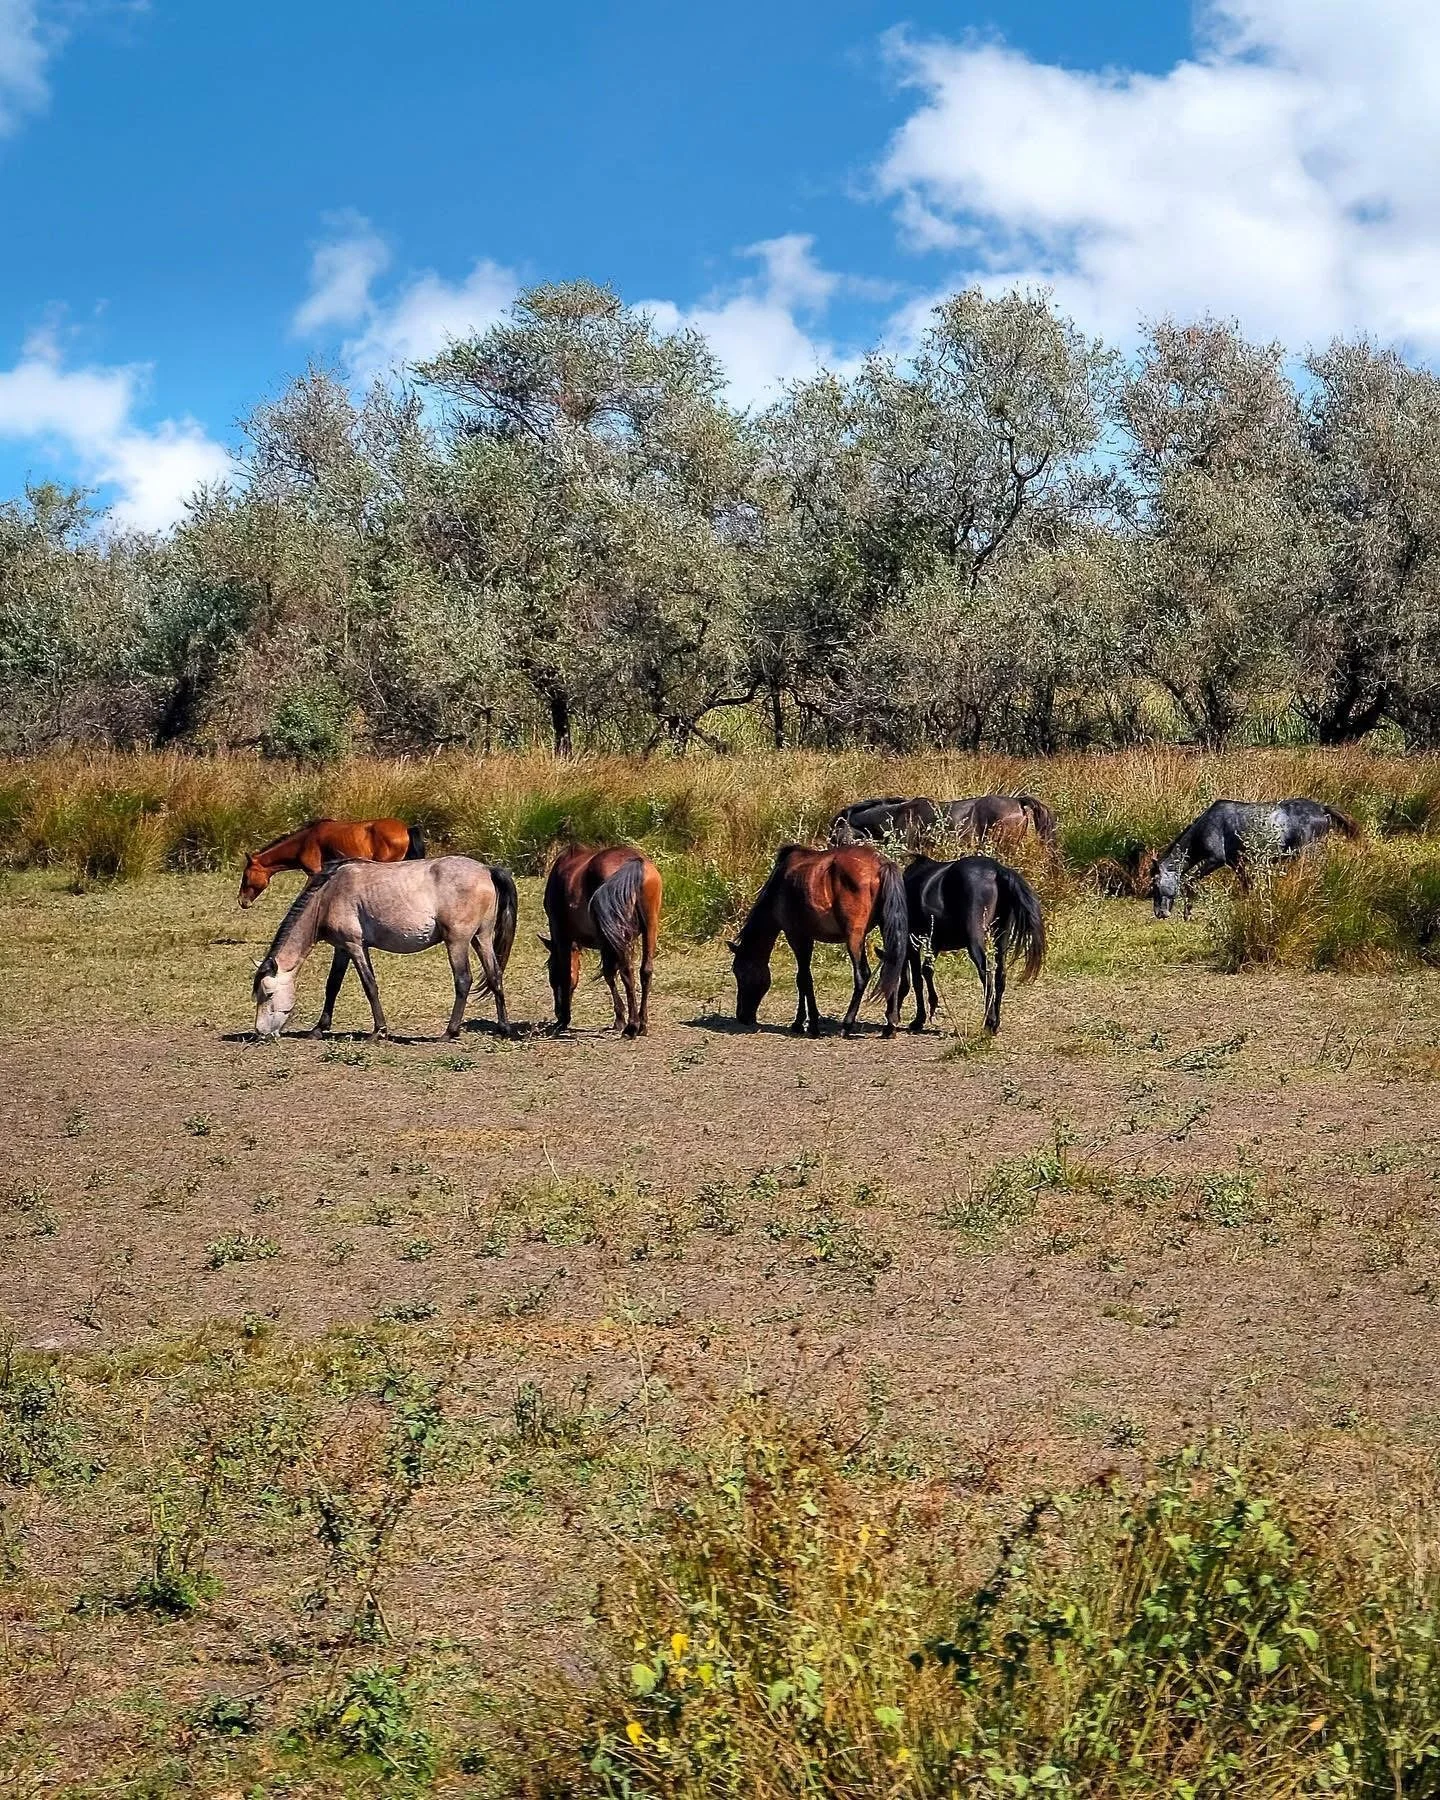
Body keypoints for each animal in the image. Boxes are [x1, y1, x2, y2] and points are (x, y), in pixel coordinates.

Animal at [251, 856, 516, 1040]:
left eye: (268, 994)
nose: (261, 1033)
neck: (328, 895)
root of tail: (486, 870)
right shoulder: (342, 949)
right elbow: (332, 986)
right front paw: (319, 1029)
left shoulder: (355, 946)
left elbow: (370, 986)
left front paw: (379, 1031)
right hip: (481, 939)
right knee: (495, 976)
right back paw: (503, 1028)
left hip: (457, 942)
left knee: (463, 980)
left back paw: (450, 1032)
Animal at [541, 846, 663, 1037]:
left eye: (551, 974)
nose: (557, 1012)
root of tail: (635, 862)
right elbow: (609, 974)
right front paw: (619, 1019)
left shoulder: (563, 937)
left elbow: (570, 974)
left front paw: (565, 1019)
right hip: (650, 927)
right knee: (645, 971)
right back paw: (642, 1024)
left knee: (627, 972)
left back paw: (632, 1026)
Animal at [729, 844, 908, 1037]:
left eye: (740, 972)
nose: (742, 1016)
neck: (779, 885)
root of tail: (880, 863)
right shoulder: (807, 938)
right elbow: (804, 979)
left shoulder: (796, 936)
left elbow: (803, 979)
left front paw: (805, 1023)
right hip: (886, 929)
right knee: (892, 968)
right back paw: (890, 1025)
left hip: (854, 937)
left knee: (862, 974)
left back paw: (847, 1024)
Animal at [901, 855, 1047, 1035]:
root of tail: (997, 871)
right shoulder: (933, 943)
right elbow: (926, 971)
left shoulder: (913, 942)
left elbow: (917, 980)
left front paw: (918, 1020)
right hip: (1001, 936)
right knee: (999, 974)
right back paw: (995, 1024)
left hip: (975, 939)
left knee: (986, 973)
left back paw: (989, 1022)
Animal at [1150, 798, 1360, 919]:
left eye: (1155, 884)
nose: (1160, 913)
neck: (1208, 825)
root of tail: (1322, 809)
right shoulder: (1236, 863)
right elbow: (1247, 885)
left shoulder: (1215, 860)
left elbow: (1189, 881)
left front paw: (1187, 913)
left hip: (1310, 853)